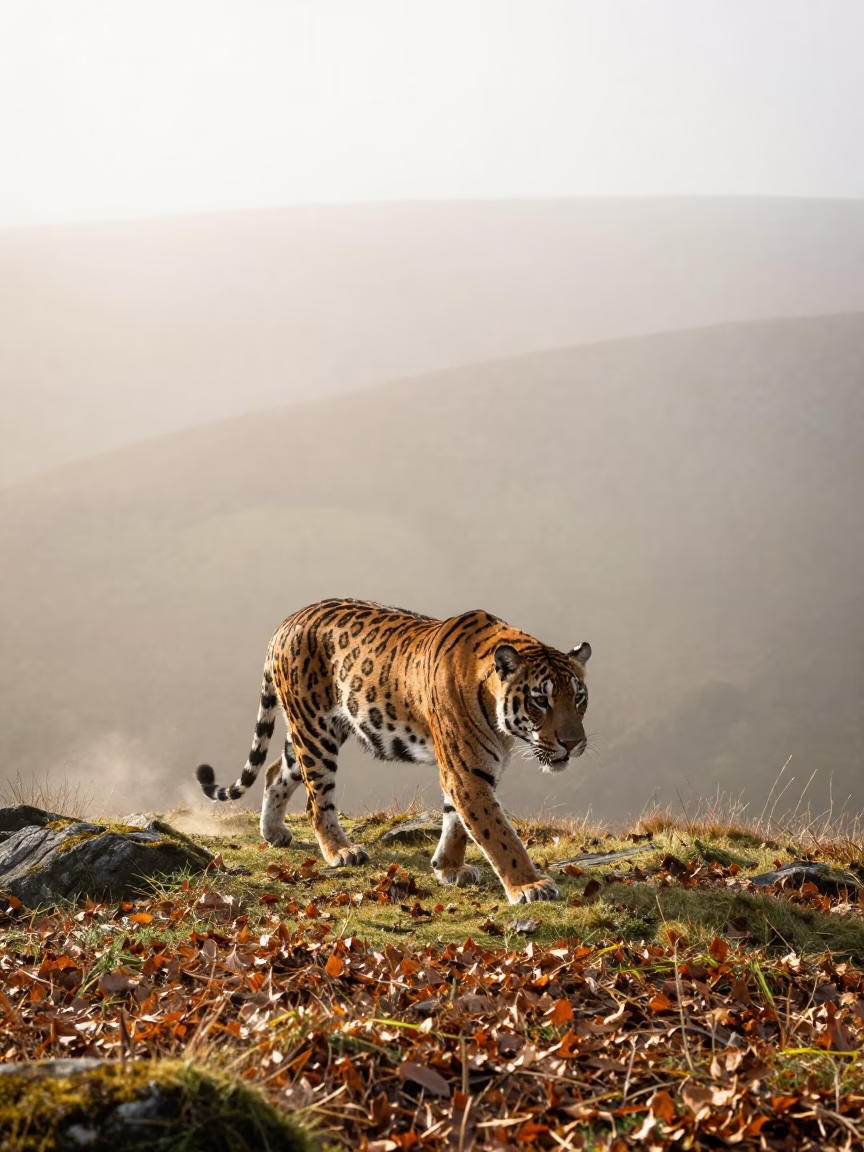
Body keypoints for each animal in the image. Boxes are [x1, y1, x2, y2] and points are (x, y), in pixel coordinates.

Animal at [195, 598, 592, 904]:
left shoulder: (470, 771)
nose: (573, 743)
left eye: (579, 697)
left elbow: (457, 822)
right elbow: (498, 834)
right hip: (315, 732)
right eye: (540, 700)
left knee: (276, 771)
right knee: (315, 801)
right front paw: (530, 885)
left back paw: (273, 832)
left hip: (316, 731)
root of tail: (287, 621)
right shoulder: (466, 772)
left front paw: (448, 868)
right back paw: (341, 851)